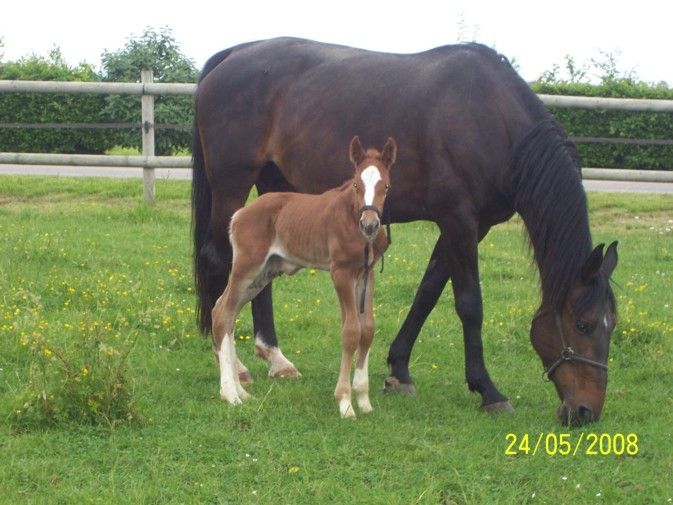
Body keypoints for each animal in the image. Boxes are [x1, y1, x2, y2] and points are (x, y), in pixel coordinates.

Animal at [213, 136, 396, 416]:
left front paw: (363, 399)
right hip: (246, 268)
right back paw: (230, 394)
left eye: (385, 186)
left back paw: (241, 392)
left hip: (262, 275)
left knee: (226, 312)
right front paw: (345, 402)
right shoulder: (341, 273)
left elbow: (367, 329)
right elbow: (351, 331)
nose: (370, 224)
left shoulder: (367, 274)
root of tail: (239, 215)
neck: (350, 216)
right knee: (223, 314)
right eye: (356, 184)